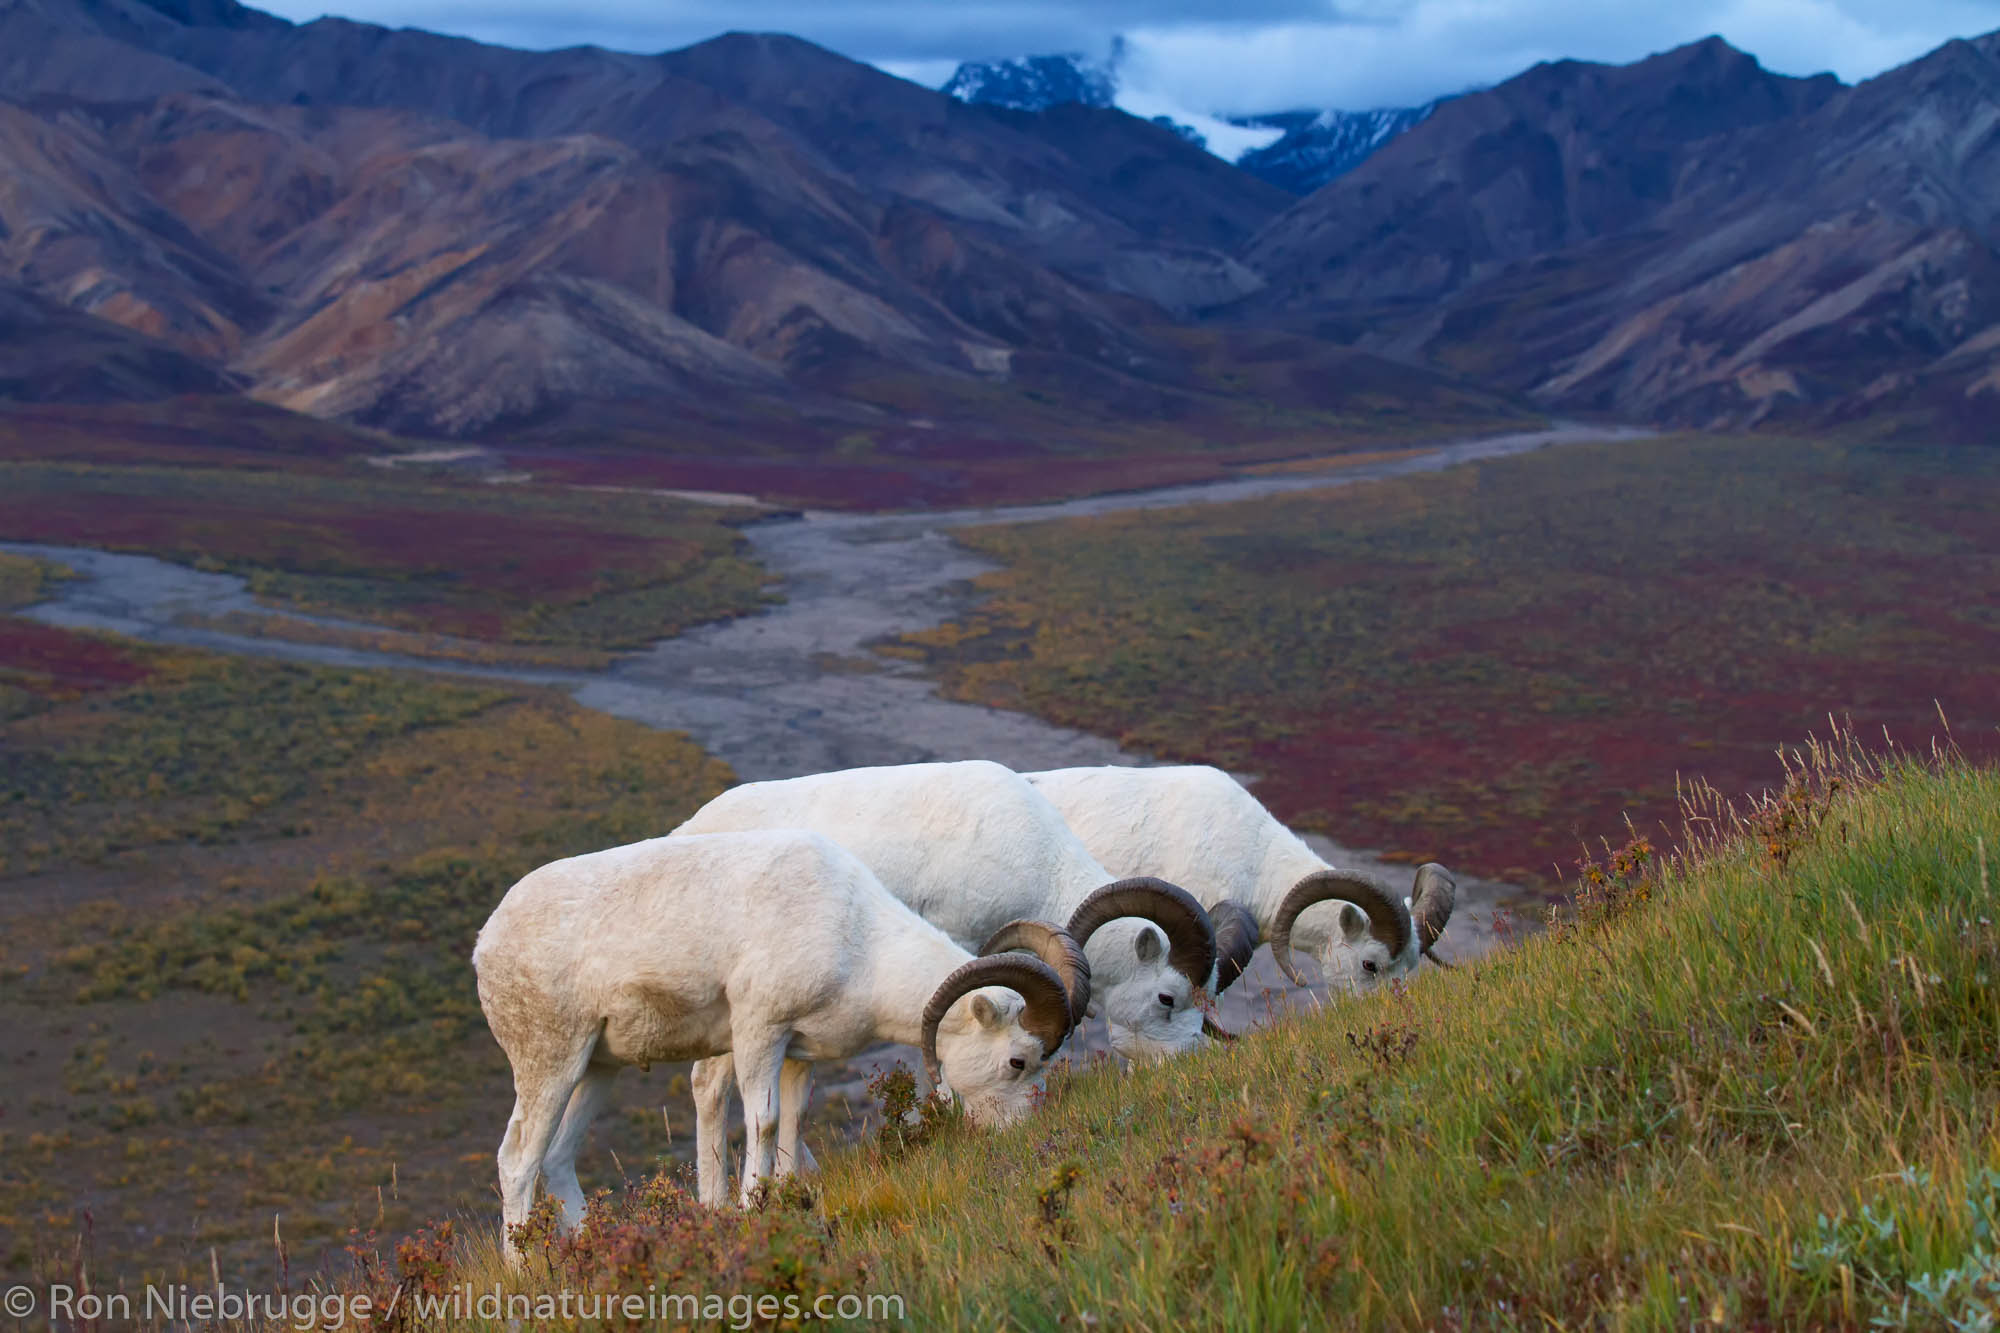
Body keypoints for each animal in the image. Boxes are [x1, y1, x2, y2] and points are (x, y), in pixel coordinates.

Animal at [470, 820, 1088, 1248]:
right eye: (1018, 1062)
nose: (1023, 1135)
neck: (857, 940)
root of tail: (487, 941)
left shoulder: (796, 1054)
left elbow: (792, 1121)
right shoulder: (757, 1032)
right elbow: (763, 1123)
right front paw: (751, 1209)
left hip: (598, 1069)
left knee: (557, 1158)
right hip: (550, 1064)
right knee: (518, 1160)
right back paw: (522, 1270)